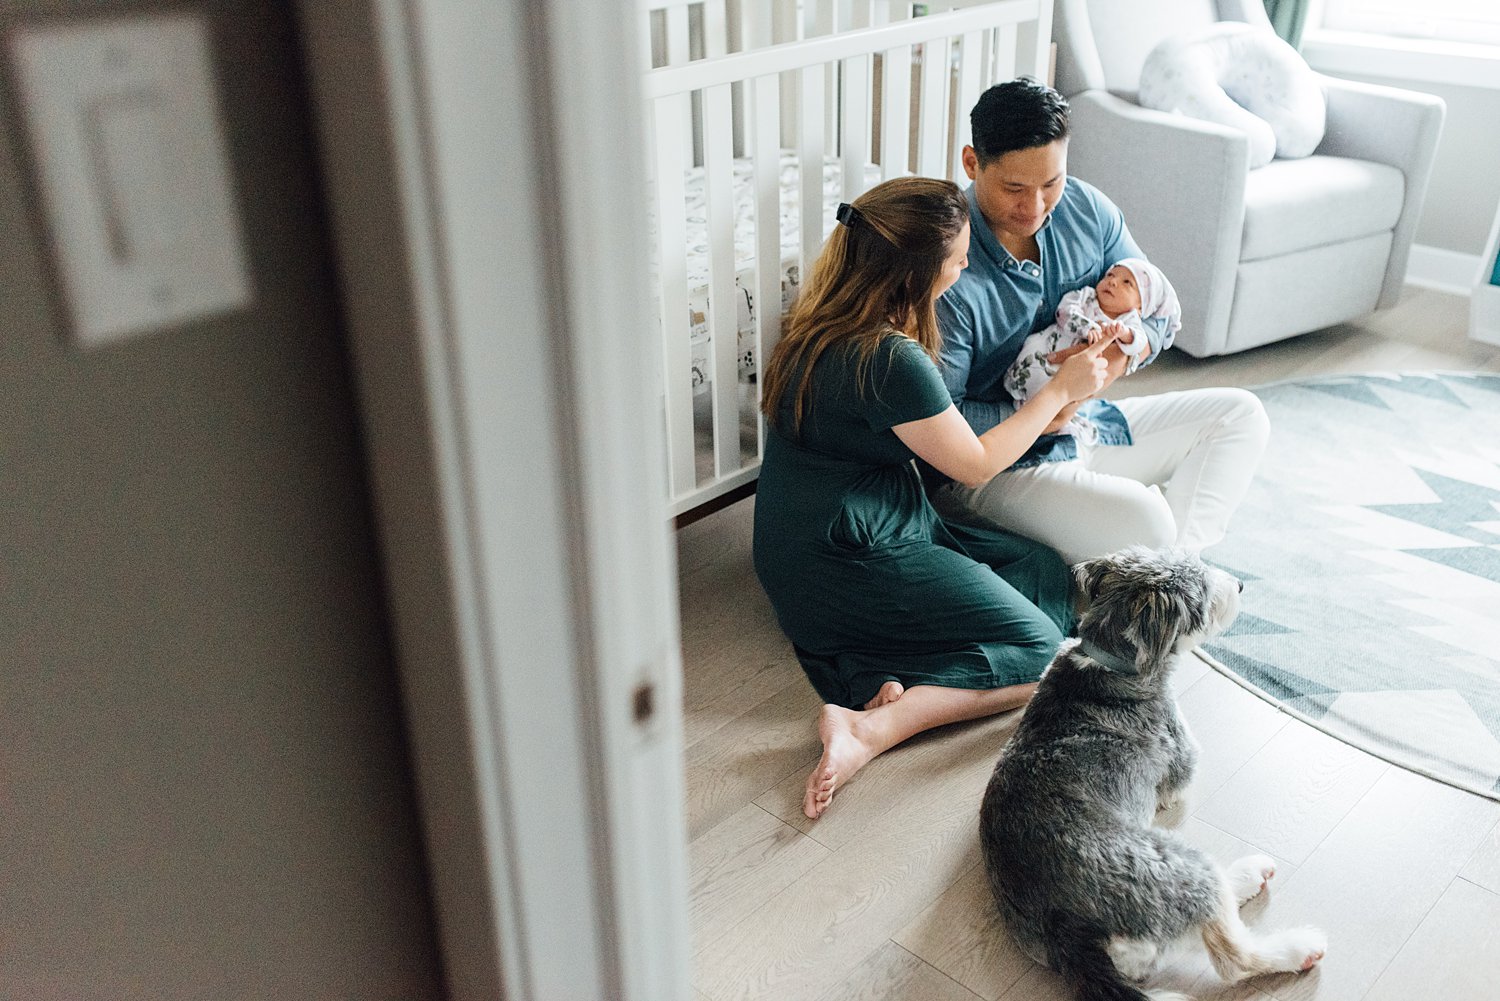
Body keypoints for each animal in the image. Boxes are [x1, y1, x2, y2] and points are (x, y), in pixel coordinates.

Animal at [984, 549, 1326, 1001]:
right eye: (1204, 591)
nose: (1239, 585)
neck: (1107, 660)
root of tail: (1068, 931)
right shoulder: (1180, 752)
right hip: (1175, 865)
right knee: (1232, 956)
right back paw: (1292, 940)